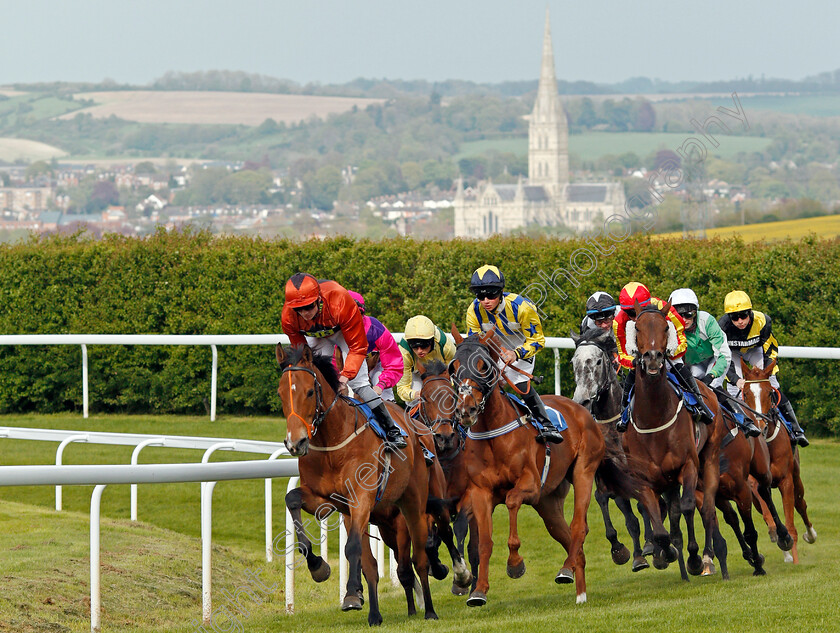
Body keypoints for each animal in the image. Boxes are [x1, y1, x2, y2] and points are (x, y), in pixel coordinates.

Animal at [278, 340, 440, 624]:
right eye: (280, 394)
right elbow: (292, 499)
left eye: (309, 392)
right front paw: (318, 566)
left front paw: (352, 593)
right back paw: (378, 614)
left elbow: (352, 547)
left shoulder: (362, 499)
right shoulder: (327, 501)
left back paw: (429, 609)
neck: (333, 441)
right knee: (382, 566)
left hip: (413, 505)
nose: (295, 442)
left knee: (419, 559)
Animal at [450, 328, 632, 604]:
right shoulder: (481, 492)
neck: (492, 433)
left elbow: (512, 500)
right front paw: (478, 591)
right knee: (566, 536)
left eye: (483, 366)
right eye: (454, 367)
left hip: (583, 471)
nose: (466, 410)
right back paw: (577, 585)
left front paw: (515, 564)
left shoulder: (531, 484)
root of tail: (579, 407)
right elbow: (484, 542)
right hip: (548, 503)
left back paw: (570, 576)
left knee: (579, 527)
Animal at [568, 326, 652, 572]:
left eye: (597, 361)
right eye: (573, 361)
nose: (582, 401)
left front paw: (650, 546)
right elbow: (608, 502)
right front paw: (623, 551)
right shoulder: (606, 473)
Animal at [620, 304, 724, 580]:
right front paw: (663, 554)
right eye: (637, 328)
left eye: (666, 327)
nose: (653, 358)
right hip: (666, 480)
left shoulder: (687, 465)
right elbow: (659, 528)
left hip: (708, 458)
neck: (654, 417)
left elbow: (687, 507)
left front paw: (694, 558)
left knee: (706, 507)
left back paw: (706, 556)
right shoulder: (645, 479)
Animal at [740, 358, 812, 560]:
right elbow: (768, 512)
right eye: (746, 394)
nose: (760, 427)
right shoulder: (753, 481)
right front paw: (776, 533)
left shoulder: (786, 480)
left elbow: (791, 526)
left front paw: (795, 560)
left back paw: (810, 535)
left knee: (801, 504)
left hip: (796, 476)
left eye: (769, 393)